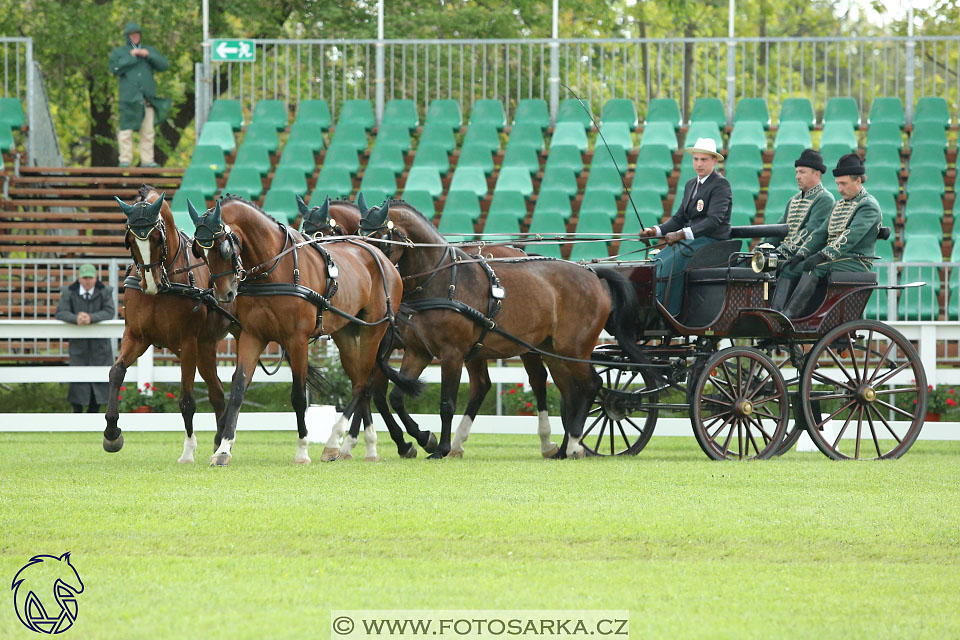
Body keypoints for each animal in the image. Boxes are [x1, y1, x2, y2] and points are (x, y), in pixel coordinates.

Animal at [106, 188, 235, 462]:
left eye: (157, 239)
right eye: (131, 241)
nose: (151, 284)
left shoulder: (187, 342)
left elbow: (187, 400)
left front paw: (188, 451)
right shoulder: (136, 336)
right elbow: (116, 372)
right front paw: (112, 433)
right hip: (205, 347)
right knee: (217, 392)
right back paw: (220, 440)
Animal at [189, 195, 422, 464]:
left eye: (225, 248)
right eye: (200, 252)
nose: (224, 294)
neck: (275, 269)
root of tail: (384, 260)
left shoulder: (297, 340)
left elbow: (299, 397)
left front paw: (302, 451)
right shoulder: (252, 337)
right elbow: (238, 391)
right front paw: (224, 449)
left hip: (373, 330)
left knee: (364, 382)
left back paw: (334, 442)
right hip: (346, 334)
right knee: (359, 381)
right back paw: (368, 447)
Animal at [298, 195, 556, 460]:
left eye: (327, 234)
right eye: (306, 234)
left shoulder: (385, 345)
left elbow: (373, 390)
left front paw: (393, 442)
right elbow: (376, 391)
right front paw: (369, 443)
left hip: (524, 344)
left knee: (537, 379)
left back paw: (547, 443)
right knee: (482, 385)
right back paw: (457, 444)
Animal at [362, 199, 652, 456]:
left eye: (381, 238)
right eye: (360, 235)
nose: (372, 271)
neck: (442, 278)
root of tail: (592, 273)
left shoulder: (452, 354)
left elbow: (446, 403)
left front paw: (440, 448)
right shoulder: (418, 351)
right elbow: (396, 397)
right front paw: (424, 439)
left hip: (574, 349)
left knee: (591, 385)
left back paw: (572, 444)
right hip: (553, 351)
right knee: (571, 393)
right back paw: (563, 448)